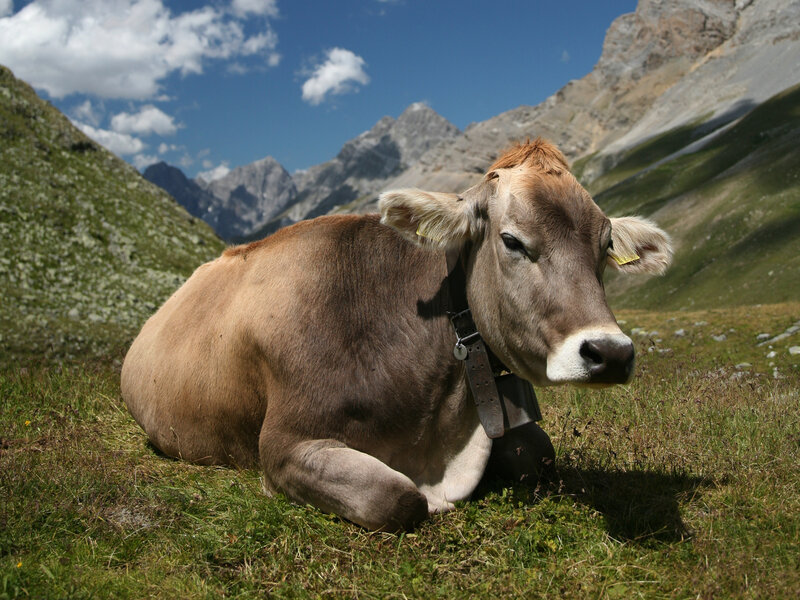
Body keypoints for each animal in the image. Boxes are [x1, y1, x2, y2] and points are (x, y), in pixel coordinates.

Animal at [121, 139, 672, 532]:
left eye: (605, 246)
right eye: (512, 240)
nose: (610, 353)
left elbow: (540, 454)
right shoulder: (284, 444)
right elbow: (397, 498)